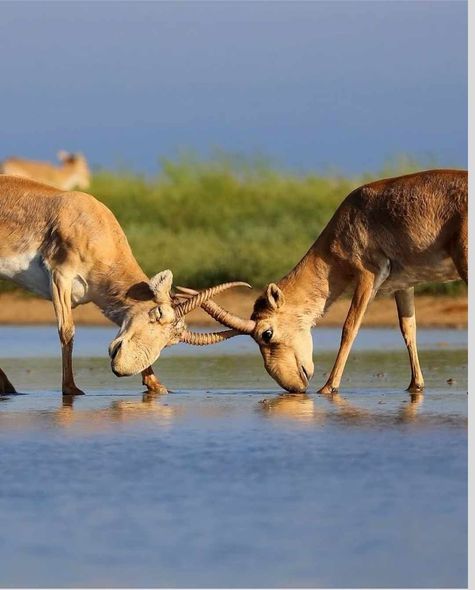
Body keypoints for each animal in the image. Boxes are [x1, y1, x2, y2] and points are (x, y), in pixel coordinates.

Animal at [0, 176, 245, 398]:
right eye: (157, 313)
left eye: (170, 342)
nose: (120, 368)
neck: (93, 226)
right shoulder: (60, 277)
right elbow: (67, 330)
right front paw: (71, 389)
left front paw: (157, 386)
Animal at [182, 169, 468, 396]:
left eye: (266, 333)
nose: (293, 387)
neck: (353, 215)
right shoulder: (404, 285)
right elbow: (408, 329)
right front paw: (415, 386)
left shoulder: (367, 276)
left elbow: (349, 328)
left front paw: (329, 387)